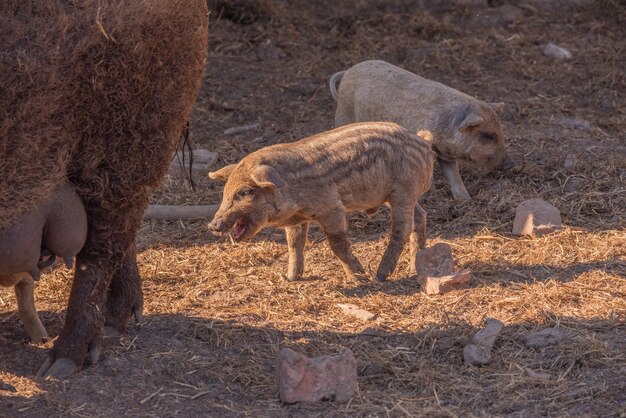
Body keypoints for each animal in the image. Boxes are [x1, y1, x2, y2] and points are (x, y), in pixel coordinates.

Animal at [207, 122, 432, 282]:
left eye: (245, 192)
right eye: (225, 192)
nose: (212, 225)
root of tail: (423, 143)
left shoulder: (332, 208)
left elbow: (337, 244)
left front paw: (359, 278)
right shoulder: (297, 219)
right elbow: (294, 244)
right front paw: (289, 278)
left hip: (403, 191)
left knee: (403, 227)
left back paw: (380, 275)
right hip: (403, 195)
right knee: (421, 217)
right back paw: (413, 270)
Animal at [326, 60, 512, 201]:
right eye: (488, 135)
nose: (510, 164)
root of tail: (348, 70)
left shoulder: (446, 154)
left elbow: (454, 177)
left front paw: (466, 200)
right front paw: (430, 197)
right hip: (343, 113)